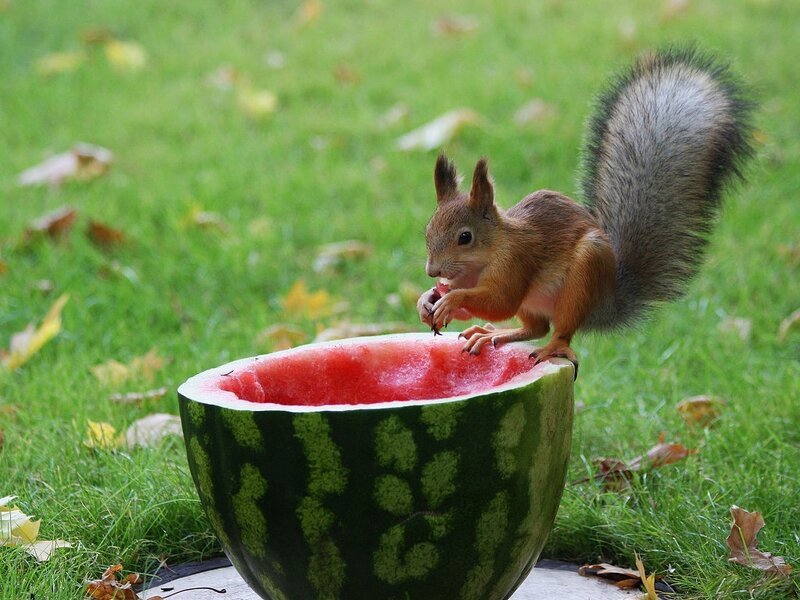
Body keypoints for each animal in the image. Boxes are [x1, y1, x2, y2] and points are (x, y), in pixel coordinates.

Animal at [417, 48, 754, 377]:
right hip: (537, 303)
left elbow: (501, 302)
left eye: (465, 237)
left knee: (559, 330)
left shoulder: (517, 262)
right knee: (535, 327)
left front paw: (453, 300)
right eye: (428, 231)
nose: (432, 271)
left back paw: (552, 348)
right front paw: (428, 299)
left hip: (581, 280)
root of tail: (605, 300)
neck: (484, 258)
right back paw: (493, 334)